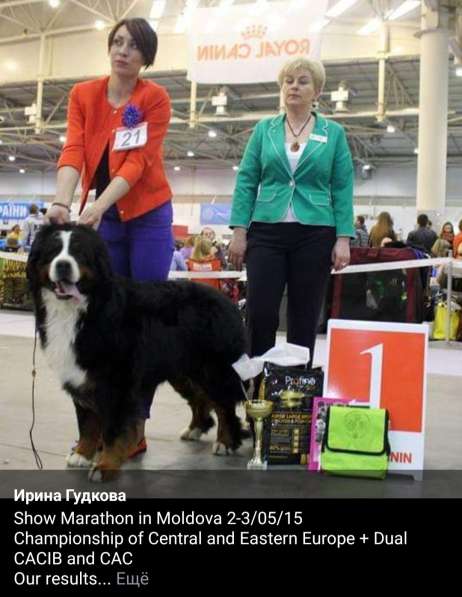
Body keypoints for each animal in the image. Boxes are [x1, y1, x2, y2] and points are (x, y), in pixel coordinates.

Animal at [26, 222, 245, 480]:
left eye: (79, 253)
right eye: (53, 252)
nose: (62, 265)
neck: (84, 308)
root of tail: (228, 301)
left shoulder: (117, 381)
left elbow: (112, 429)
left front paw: (105, 465)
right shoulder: (80, 376)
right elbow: (87, 422)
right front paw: (82, 454)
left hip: (214, 369)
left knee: (225, 404)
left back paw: (226, 441)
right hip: (183, 371)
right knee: (200, 399)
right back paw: (195, 429)